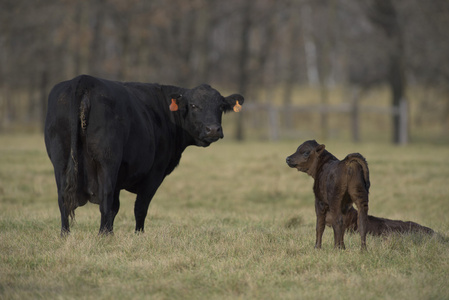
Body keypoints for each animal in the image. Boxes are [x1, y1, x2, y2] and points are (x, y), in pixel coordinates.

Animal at [43, 74, 243, 234]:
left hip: (60, 160)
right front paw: (138, 234)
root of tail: (84, 79)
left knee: (63, 199)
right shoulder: (155, 172)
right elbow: (140, 207)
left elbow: (116, 207)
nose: (213, 129)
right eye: (194, 105)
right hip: (107, 160)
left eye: (220, 106)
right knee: (105, 198)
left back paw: (66, 234)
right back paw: (103, 235)